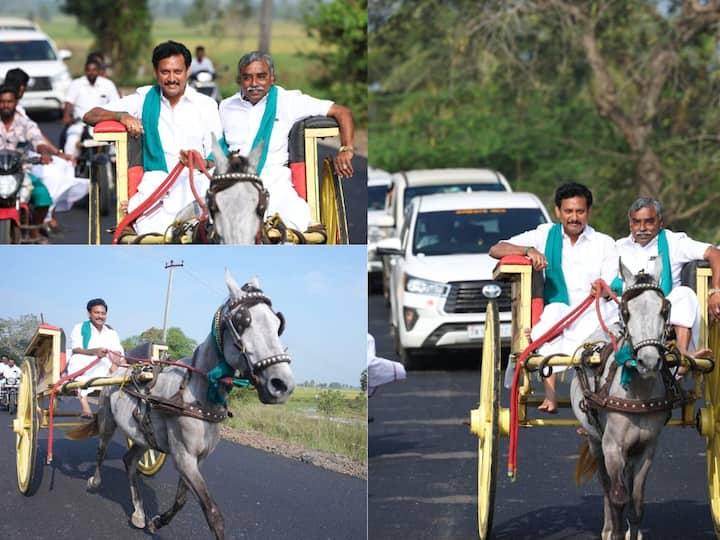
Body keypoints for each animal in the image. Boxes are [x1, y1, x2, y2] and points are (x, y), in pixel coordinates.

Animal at [66, 274, 294, 540]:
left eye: (278, 323)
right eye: (242, 320)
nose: (282, 384)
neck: (197, 396)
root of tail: (117, 371)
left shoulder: (198, 459)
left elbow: (182, 500)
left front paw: (156, 522)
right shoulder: (184, 457)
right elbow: (213, 513)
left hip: (143, 437)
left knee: (129, 460)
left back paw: (138, 512)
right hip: (106, 419)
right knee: (101, 450)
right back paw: (95, 482)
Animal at [572, 258, 684, 540]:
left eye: (664, 309)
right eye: (626, 311)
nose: (649, 361)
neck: (638, 393)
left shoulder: (647, 448)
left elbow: (637, 501)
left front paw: (633, 530)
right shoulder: (612, 446)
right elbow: (618, 497)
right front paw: (616, 531)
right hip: (595, 441)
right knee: (606, 484)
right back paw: (608, 528)